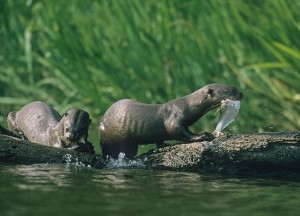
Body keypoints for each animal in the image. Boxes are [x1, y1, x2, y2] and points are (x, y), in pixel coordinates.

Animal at [99, 83, 243, 158]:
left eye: (235, 87)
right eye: (230, 90)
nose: (241, 93)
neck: (189, 106)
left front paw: (163, 144)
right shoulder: (175, 117)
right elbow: (176, 130)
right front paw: (203, 135)